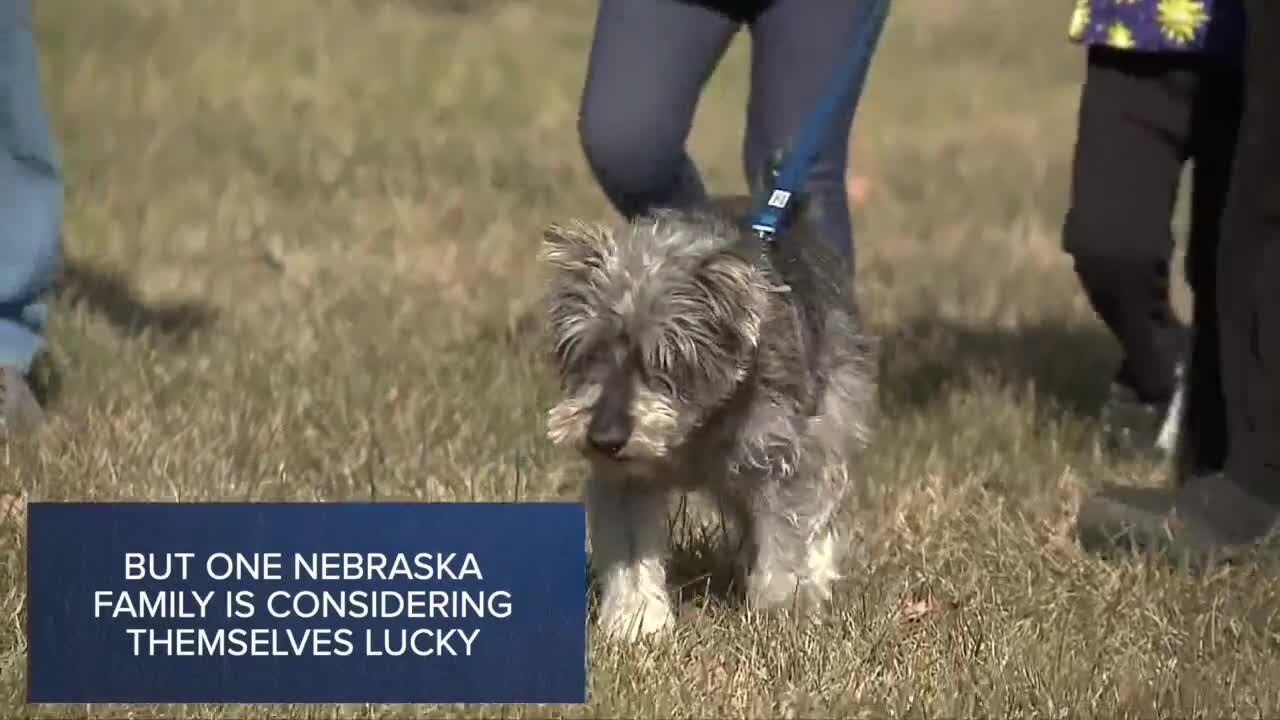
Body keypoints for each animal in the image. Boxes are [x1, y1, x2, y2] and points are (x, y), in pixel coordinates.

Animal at [535, 192, 875, 638]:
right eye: (590, 352)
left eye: (666, 357)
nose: (605, 438)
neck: (692, 431)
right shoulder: (624, 479)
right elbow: (630, 552)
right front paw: (637, 621)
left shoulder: (781, 458)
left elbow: (788, 536)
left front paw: (783, 612)